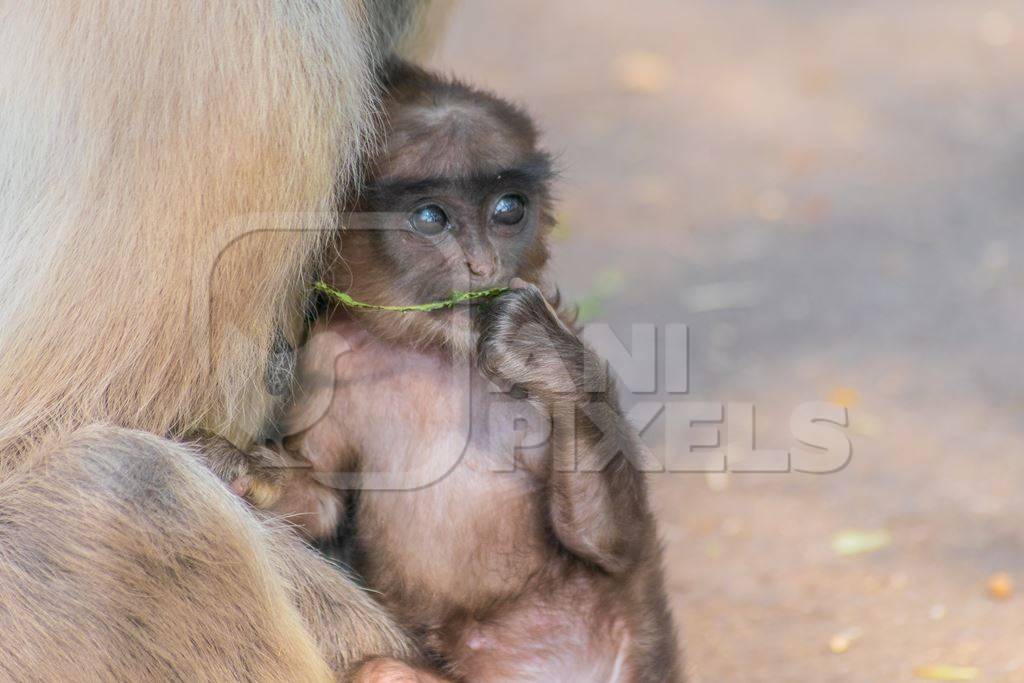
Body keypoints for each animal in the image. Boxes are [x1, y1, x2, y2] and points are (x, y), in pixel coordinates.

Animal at [224, 62, 679, 679]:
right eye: (431, 218)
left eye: (508, 210)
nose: (481, 267)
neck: (435, 355)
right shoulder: (326, 356)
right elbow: (322, 499)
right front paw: (244, 470)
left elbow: (608, 543)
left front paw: (545, 356)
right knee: (381, 669)